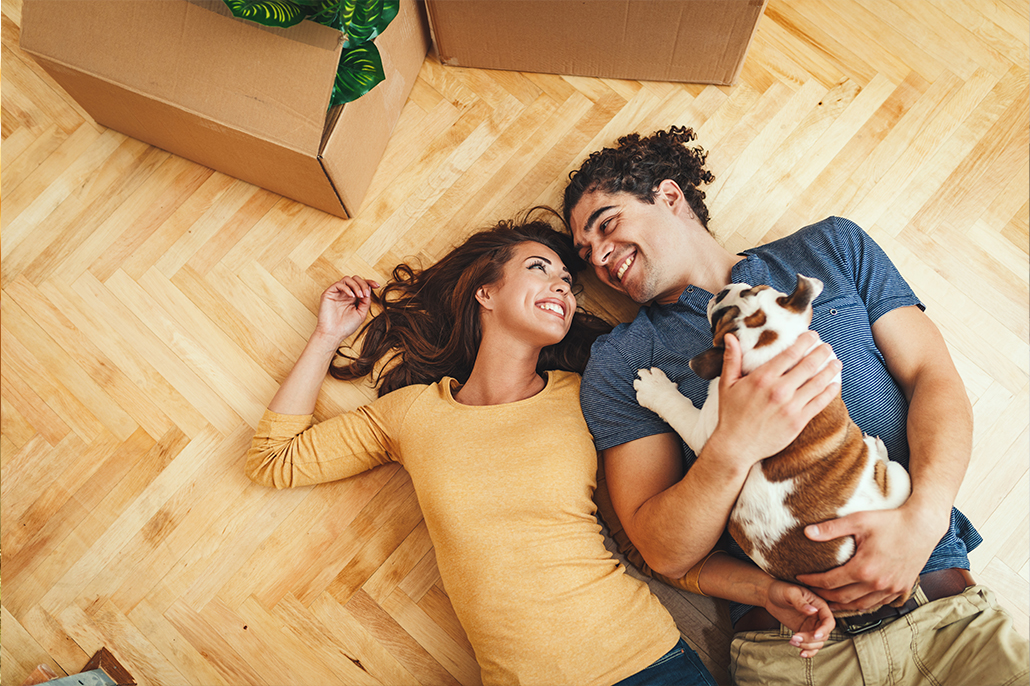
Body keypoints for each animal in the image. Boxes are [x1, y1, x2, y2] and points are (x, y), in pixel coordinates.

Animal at [634, 273, 918, 613]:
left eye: (719, 320)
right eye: (751, 290)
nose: (721, 293)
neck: (777, 356)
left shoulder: (708, 430)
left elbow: (678, 408)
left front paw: (654, 388)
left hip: (900, 476)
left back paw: (877, 448)